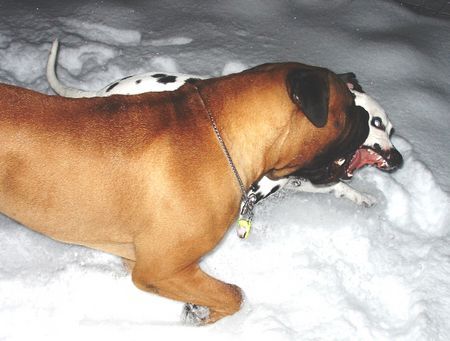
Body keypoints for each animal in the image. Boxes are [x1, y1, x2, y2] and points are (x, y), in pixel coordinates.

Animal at [0, 61, 370, 324]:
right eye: (350, 108)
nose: (367, 115)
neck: (222, 133)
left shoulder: (144, 258)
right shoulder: (159, 270)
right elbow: (234, 295)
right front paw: (204, 319)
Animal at [47, 39, 402, 210]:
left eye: (392, 129)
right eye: (376, 123)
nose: (399, 159)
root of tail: (102, 93)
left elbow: (337, 186)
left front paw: (360, 196)